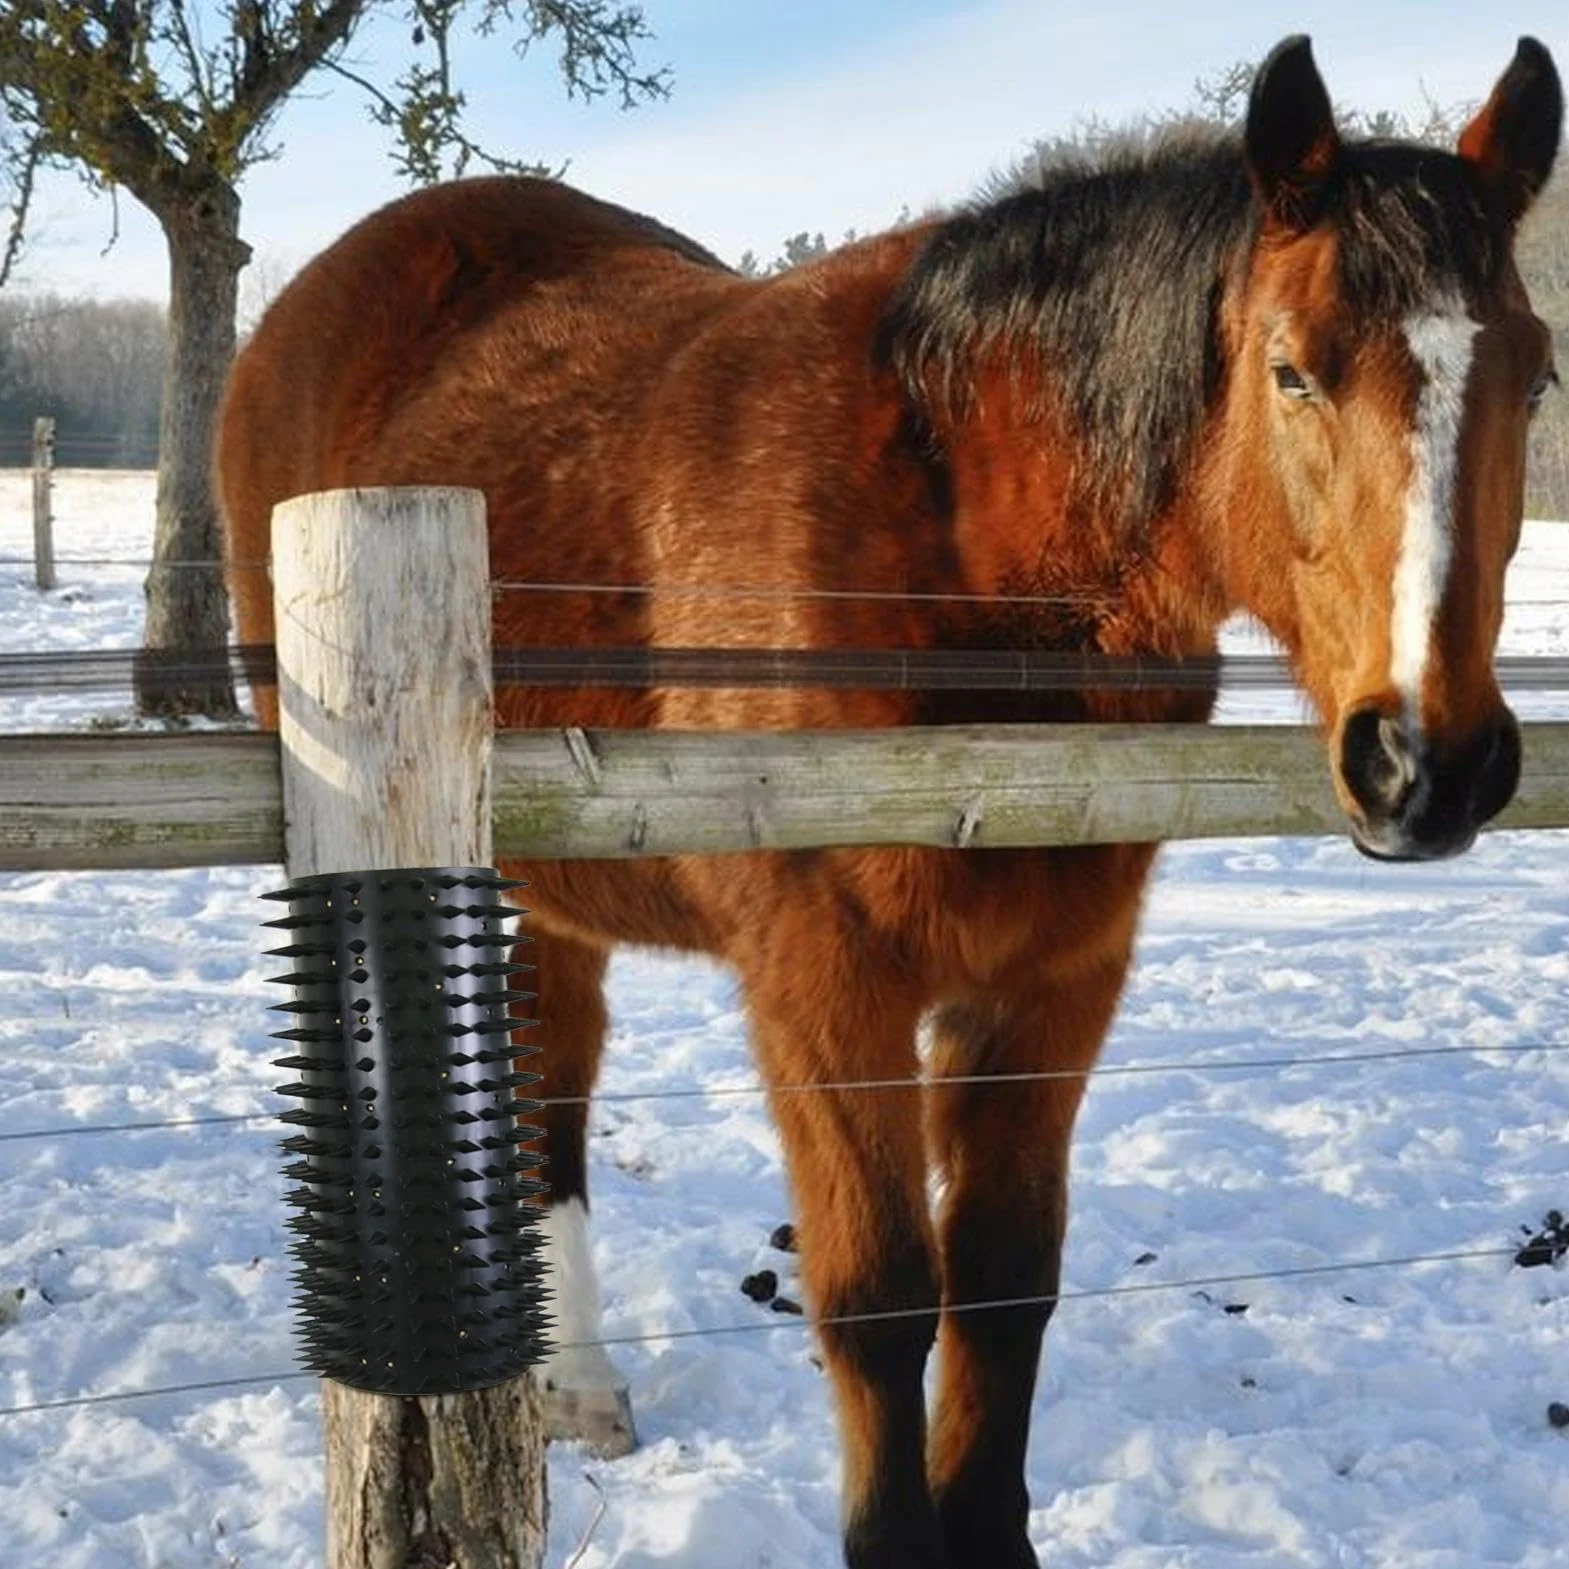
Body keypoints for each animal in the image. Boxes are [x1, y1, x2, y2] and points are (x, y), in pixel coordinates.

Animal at [217, 34, 1562, 1569]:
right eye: (1293, 371)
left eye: (1535, 377)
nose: (1431, 760)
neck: (958, 561)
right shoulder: (824, 985)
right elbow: (877, 1301)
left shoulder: (1052, 983)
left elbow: (1002, 1283)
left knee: (548, 1046)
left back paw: (576, 1383)